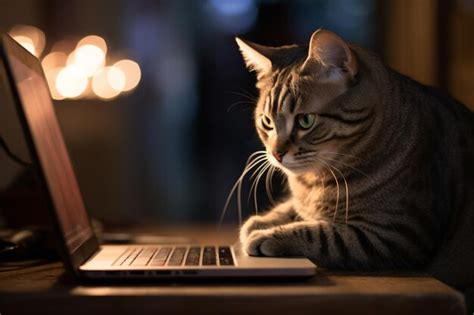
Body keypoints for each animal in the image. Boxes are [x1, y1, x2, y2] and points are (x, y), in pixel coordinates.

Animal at [237, 29, 474, 302]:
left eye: (305, 121)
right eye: (267, 122)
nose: (276, 153)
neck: (315, 181)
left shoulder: (397, 235)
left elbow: (322, 234)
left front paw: (265, 235)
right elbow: (292, 208)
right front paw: (261, 221)